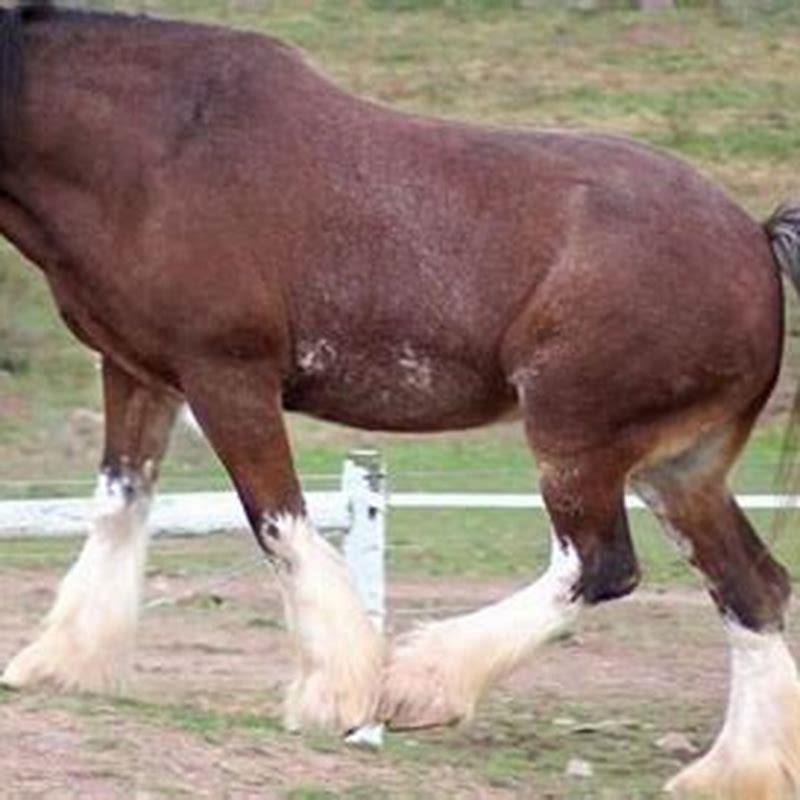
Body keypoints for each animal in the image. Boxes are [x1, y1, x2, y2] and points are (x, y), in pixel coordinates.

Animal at [1, 2, 799, 796]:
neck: (159, 149)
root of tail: (754, 243)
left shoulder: (227, 375)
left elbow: (279, 524)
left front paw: (336, 692)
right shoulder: (136, 371)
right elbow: (119, 506)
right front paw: (59, 664)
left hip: (577, 436)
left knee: (599, 566)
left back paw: (418, 682)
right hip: (678, 468)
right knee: (752, 587)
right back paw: (736, 768)